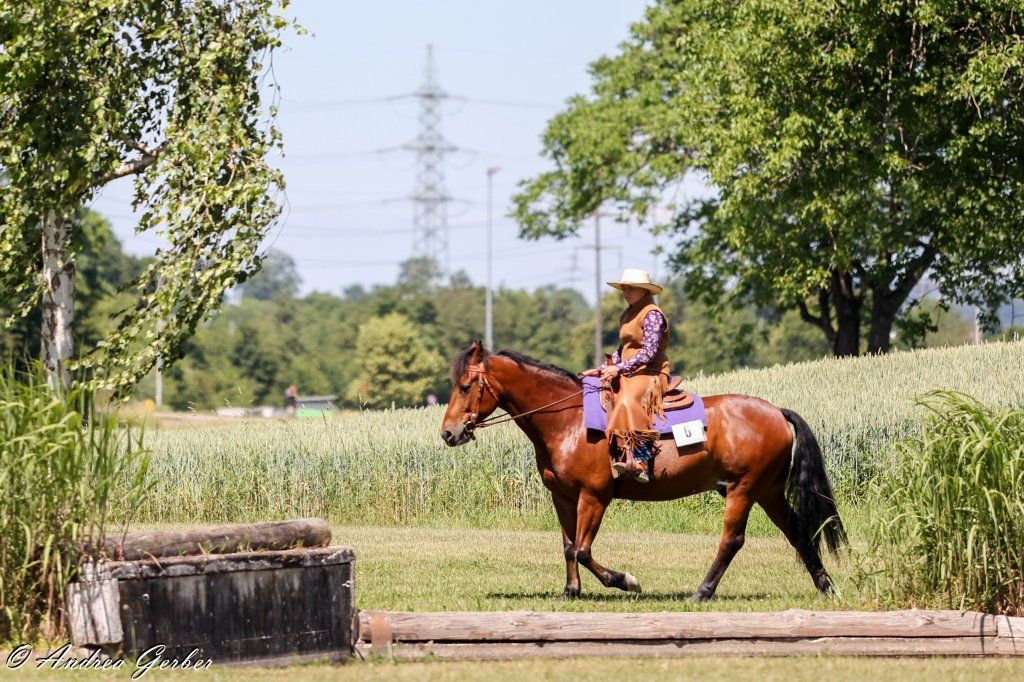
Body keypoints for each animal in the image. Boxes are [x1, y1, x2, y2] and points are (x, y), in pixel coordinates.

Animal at [440, 341, 847, 601]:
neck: (568, 421)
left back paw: (702, 592)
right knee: (799, 533)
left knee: (732, 540)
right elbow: (569, 546)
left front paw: (625, 580)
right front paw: (571, 591)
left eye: (465, 386)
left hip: (744, 490)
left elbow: (584, 550)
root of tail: (777, 411)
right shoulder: (563, 496)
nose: (448, 432)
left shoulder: (595, 496)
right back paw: (826, 587)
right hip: (767, 492)